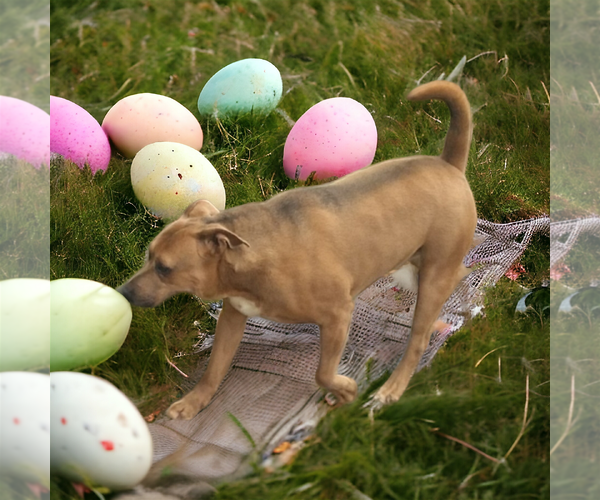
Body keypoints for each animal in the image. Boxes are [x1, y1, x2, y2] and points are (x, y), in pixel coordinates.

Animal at [118, 80, 478, 420]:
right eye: (148, 256)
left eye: (165, 268)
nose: (123, 293)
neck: (256, 254)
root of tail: (448, 165)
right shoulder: (233, 315)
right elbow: (214, 368)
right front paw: (195, 402)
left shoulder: (337, 315)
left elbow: (323, 373)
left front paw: (344, 389)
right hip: (414, 269)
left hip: (432, 275)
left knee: (419, 338)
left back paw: (390, 389)